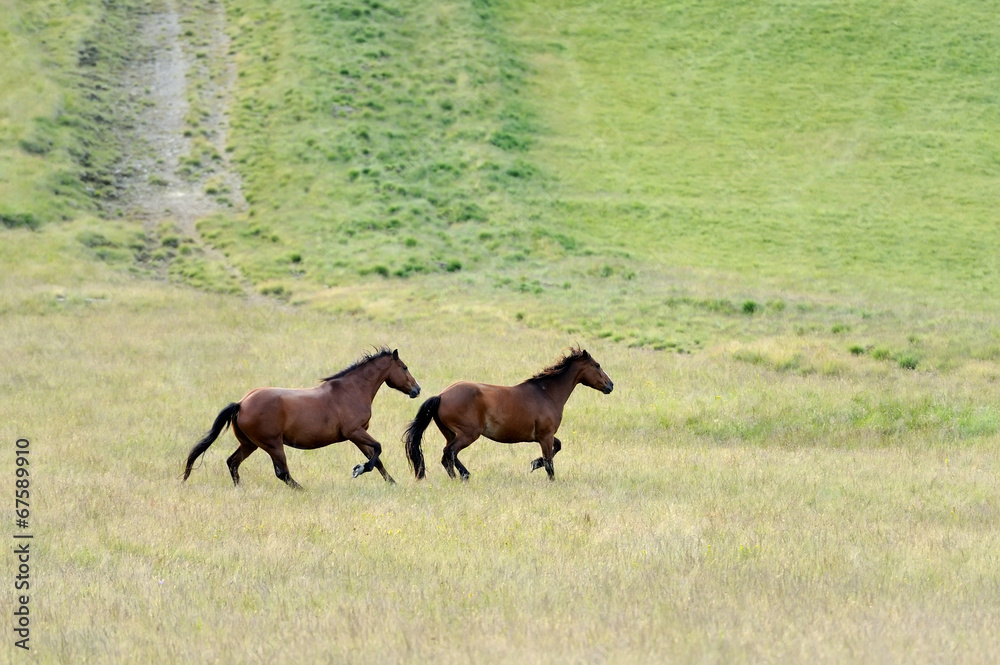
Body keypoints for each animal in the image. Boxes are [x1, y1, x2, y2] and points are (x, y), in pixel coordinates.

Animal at [183, 348, 418, 488]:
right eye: (404, 367)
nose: (417, 389)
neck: (351, 390)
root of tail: (241, 403)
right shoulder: (355, 432)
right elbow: (378, 449)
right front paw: (359, 469)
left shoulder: (357, 435)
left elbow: (376, 459)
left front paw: (392, 483)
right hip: (272, 444)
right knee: (282, 473)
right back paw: (303, 489)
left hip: (250, 444)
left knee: (233, 462)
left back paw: (240, 488)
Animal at [402, 344, 612, 480]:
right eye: (597, 365)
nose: (610, 385)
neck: (546, 393)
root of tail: (441, 395)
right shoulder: (545, 436)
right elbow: (550, 463)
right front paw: (544, 472)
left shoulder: (545, 436)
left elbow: (558, 447)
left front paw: (534, 463)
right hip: (468, 434)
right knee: (450, 453)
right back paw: (465, 475)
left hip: (450, 433)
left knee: (446, 458)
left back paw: (457, 478)